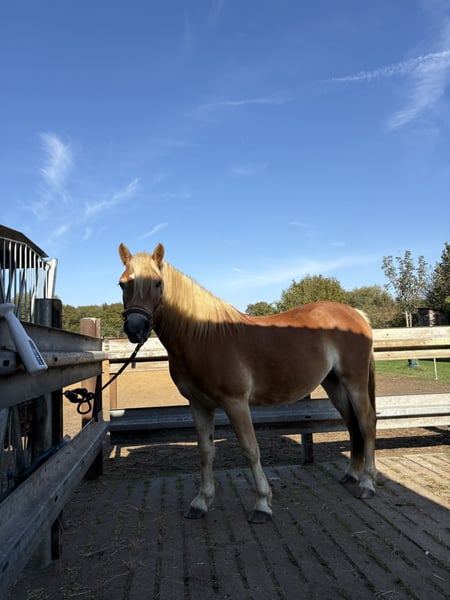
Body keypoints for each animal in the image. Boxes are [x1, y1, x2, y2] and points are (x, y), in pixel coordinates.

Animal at [118, 243, 377, 523]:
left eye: (157, 283)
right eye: (122, 284)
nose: (135, 328)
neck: (204, 337)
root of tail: (355, 314)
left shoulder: (236, 403)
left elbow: (251, 449)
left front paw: (262, 503)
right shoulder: (199, 405)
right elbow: (205, 451)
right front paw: (201, 502)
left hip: (354, 381)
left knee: (366, 422)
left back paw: (367, 483)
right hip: (333, 383)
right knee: (351, 423)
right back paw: (351, 474)